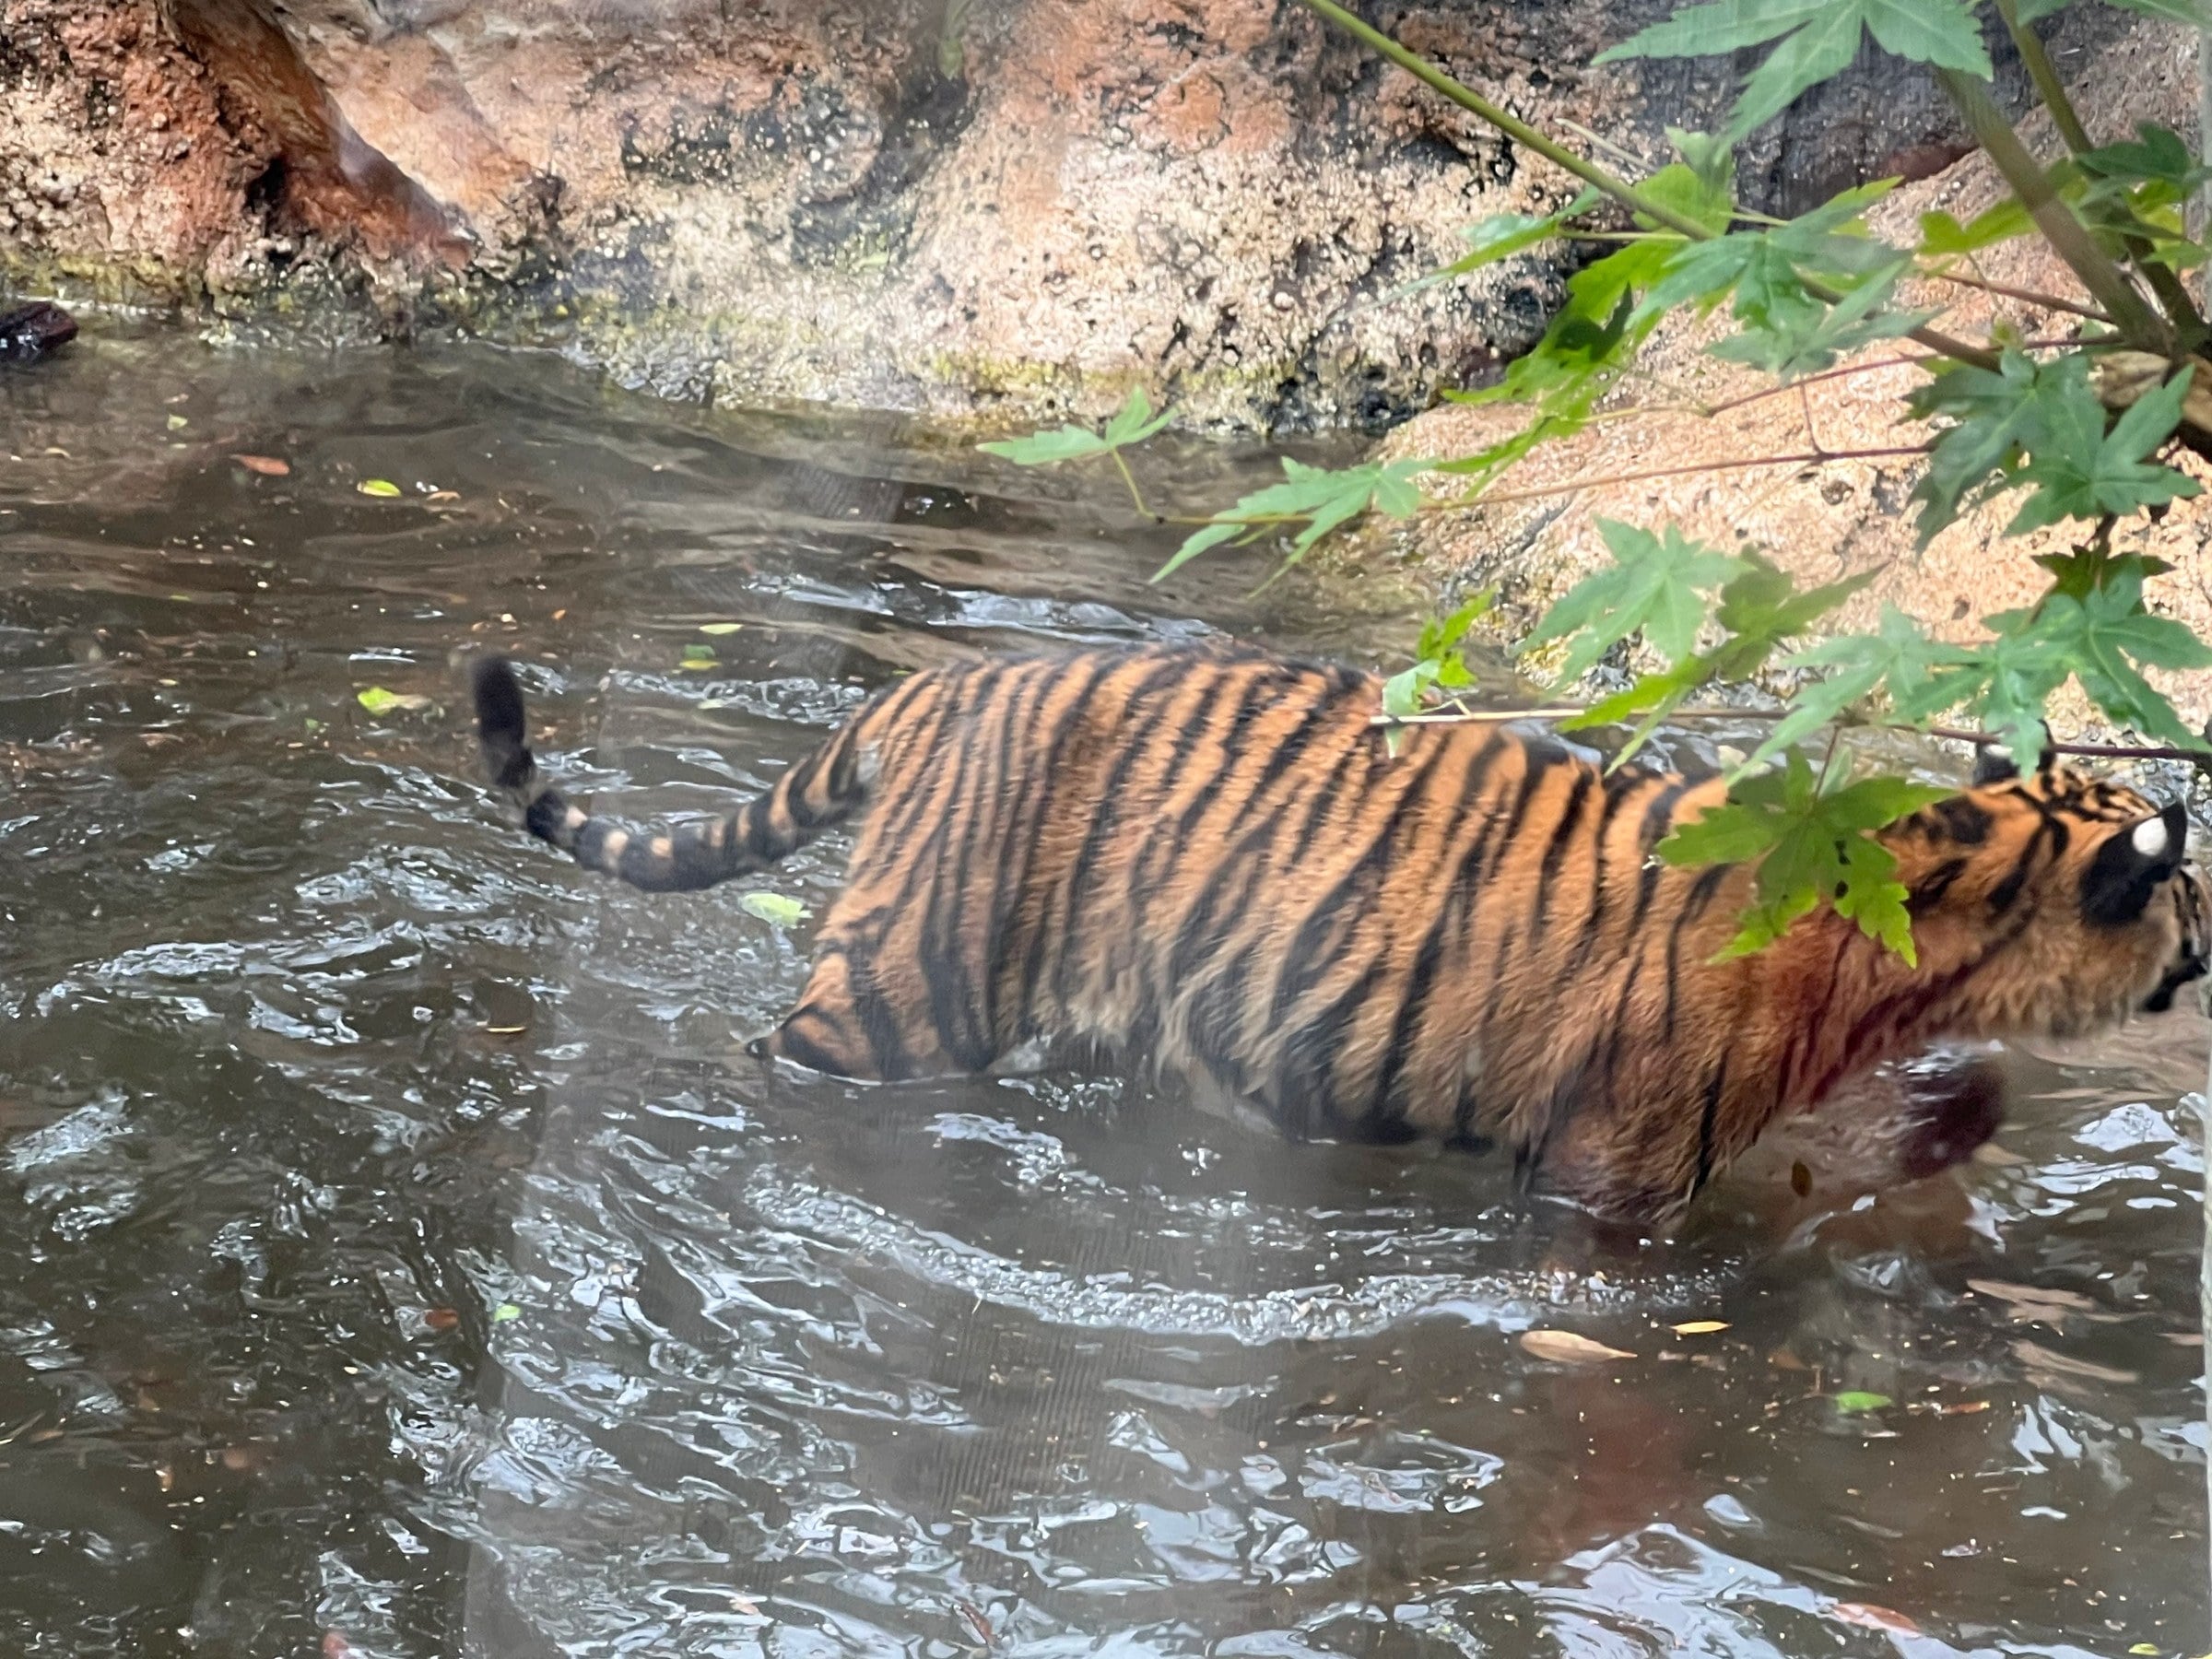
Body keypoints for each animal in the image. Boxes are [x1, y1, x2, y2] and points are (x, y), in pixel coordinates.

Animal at [470, 644, 2211, 1226]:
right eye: (2193, 898)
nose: (2204, 954)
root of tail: (942, 682)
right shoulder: (1617, 1162)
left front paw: (1966, 1115)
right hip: (902, 988)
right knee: (781, 1054)